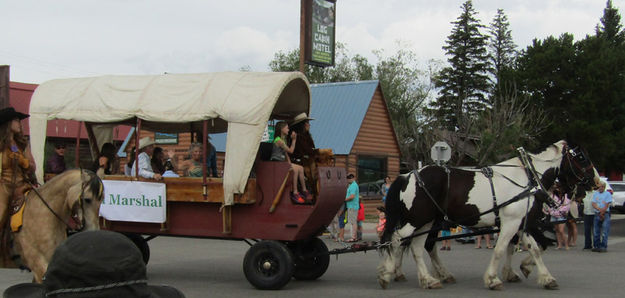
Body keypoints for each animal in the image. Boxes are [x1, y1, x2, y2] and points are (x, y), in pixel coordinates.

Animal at [378, 140, 596, 292]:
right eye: (582, 157)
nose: (596, 181)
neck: (528, 178)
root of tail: (408, 175)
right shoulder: (511, 223)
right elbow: (500, 249)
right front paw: (493, 279)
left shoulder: (520, 222)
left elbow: (534, 248)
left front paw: (544, 277)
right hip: (416, 220)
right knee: (397, 240)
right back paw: (387, 274)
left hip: (426, 222)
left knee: (417, 246)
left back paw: (428, 279)